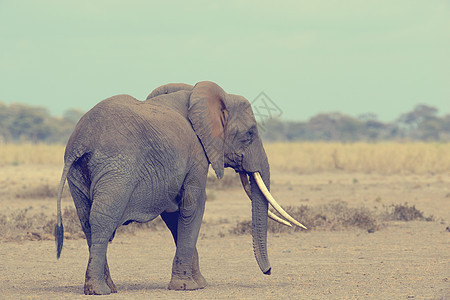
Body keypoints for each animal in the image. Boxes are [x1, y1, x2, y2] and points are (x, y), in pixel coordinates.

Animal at [54, 81, 304, 294]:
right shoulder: (197, 156)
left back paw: (109, 287)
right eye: (250, 133)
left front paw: (199, 283)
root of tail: (81, 141)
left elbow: (175, 214)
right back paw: (99, 290)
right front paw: (187, 287)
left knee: (86, 220)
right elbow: (193, 207)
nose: (269, 271)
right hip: (117, 170)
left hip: (78, 173)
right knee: (102, 219)